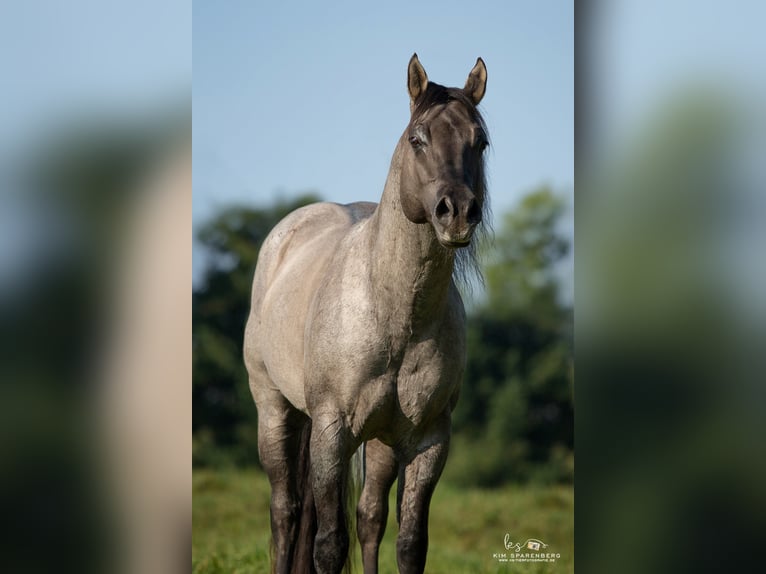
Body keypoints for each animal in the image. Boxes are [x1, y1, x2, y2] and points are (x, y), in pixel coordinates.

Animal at [244, 53, 489, 574]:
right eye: (418, 138)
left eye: (480, 141)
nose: (458, 212)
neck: (396, 314)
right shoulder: (331, 430)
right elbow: (329, 544)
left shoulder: (428, 438)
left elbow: (409, 542)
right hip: (275, 412)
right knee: (285, 511)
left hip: (380, 441)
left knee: (370, 517)